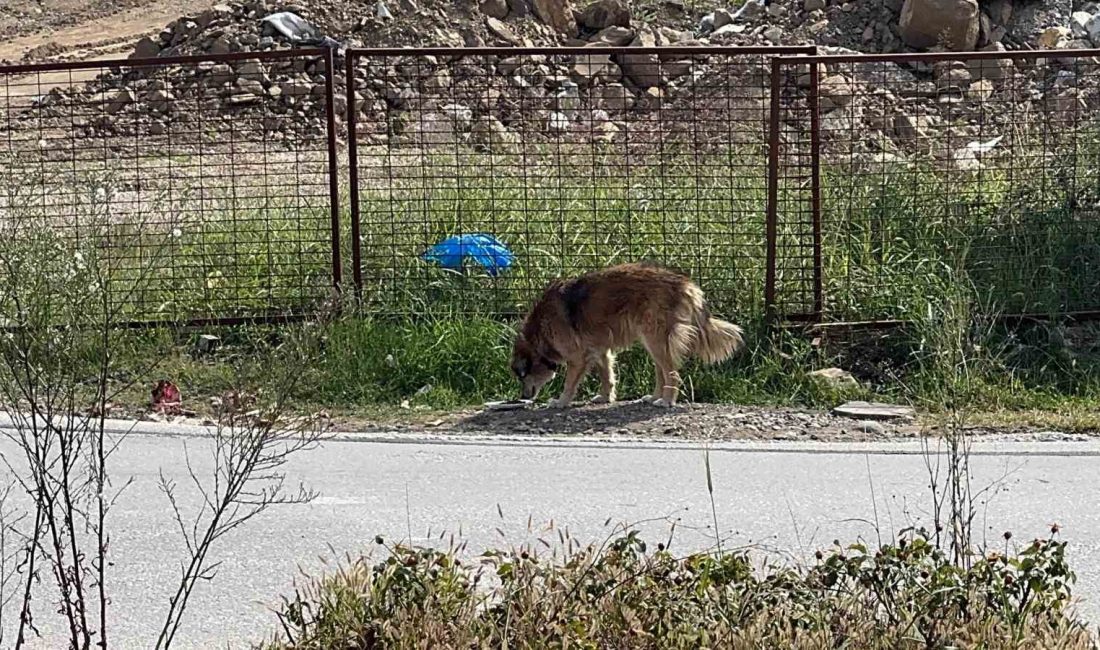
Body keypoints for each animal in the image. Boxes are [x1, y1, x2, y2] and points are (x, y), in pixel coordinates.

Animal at [510, 262, 743, 406]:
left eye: (522, 375)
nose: (522, 397)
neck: (538, 333)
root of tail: (683, 283)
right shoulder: (600, 351)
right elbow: (607, 376)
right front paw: (606, 397)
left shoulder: (577, 357)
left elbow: (569, 383)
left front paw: (561, 402)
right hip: (653, 342)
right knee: (661, 372)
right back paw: (654, 397)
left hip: (655, 339)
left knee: (671, 373)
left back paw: (667, 400)